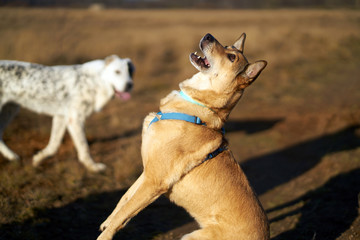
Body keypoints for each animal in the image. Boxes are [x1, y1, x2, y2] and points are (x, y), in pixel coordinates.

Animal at [97, 33, 268, 240]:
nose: (208, 36)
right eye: (227, 46)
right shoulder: (147, 172)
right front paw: (107, 223)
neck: (199, 107)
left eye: (231, 57)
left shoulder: (154, 181)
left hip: (191, 237)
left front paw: (105, 234)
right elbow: (124, 200)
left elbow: (125, 212)